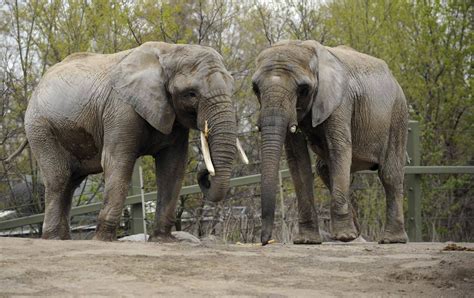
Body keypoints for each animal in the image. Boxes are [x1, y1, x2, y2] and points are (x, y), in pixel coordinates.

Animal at [24, 42, 248, 241]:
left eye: (231, 88)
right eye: (191, 94)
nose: (205, 172)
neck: (170, 52)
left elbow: (173, 166)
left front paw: (163, 240)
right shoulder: (120, 109)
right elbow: (118, 161)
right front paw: (103, 240)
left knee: (71, 181)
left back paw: (62, 238)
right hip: (40, 128)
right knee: (59, 178)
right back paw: (53, 238)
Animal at [252, 40, 412, 244]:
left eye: (303, 89)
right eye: (255, 88)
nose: (265, 241)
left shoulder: (340, 102)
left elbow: (340, 149)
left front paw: (344, 237)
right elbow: (297, 159)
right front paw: (307, 241)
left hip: (397, 113)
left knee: (390, 174)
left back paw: (390, 240)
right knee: (323, 169)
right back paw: (358, 232)